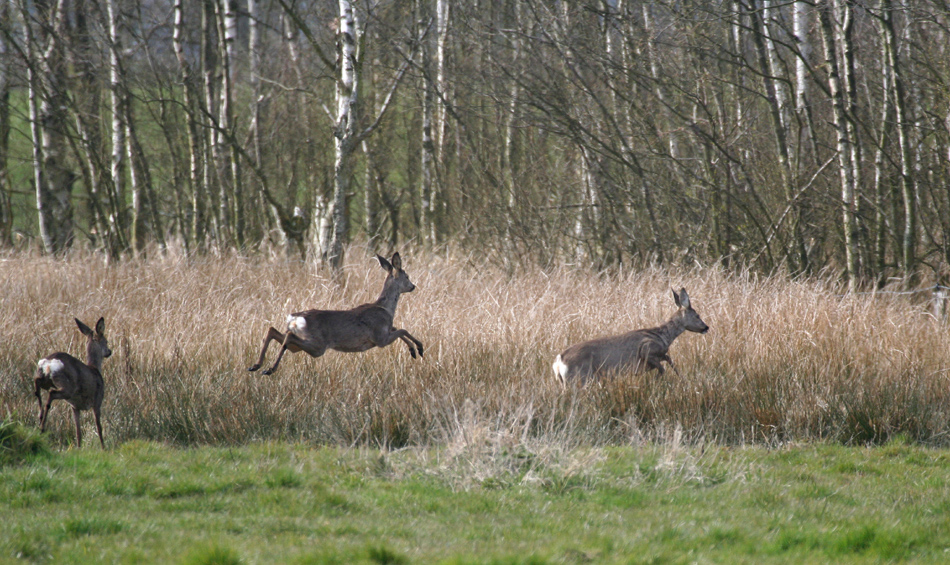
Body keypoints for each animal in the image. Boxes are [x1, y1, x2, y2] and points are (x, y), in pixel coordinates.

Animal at [34, 318, 112, 446]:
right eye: (106, 341)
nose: (109, 351)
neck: (95, 368)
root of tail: (49, 363)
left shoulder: (75, 407)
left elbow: (78, 431)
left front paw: (78, 447)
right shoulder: (97, 400)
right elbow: (99, 427)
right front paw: (103, 447)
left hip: (46, 378)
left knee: (37, 385)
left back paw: (40, 416)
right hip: (67, 386)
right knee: (52, 393)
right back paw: (42, 427)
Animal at [249, 251, 424, 374]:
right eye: (407, 276)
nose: (413, 286)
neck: (386, 309)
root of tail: (294, 319)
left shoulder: (385, 332)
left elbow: (399, 329)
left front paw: (414, 350)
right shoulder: (380, 337)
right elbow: (402, 329)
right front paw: (419, 348)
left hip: (303, 344)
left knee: (274, 331)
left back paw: (256, 366)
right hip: (317, 345)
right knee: (288, 336)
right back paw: (269, 369)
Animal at [552, 288, 708, 386]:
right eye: (697, 315)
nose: (706, 327)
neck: (663, 336)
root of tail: (559, 361)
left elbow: (668, 360)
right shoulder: (647, 349)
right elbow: (664, 366)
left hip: (565, 382)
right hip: (579, 378)